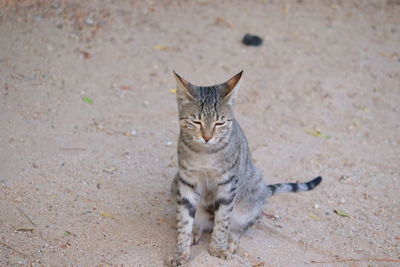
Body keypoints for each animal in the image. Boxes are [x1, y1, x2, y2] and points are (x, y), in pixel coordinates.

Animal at [165, 70, 322, 266]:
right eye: (197, 122)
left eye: (219, 123)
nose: (207, 137)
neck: (206, 154)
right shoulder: (186, 182)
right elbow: (184, 222)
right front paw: (181, 253)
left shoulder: (228, 184)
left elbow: (223, 221)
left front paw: (218, 248)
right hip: (176, 183)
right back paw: (197, 230)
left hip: (251, 198)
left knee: (238, 226)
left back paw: (230, 240)